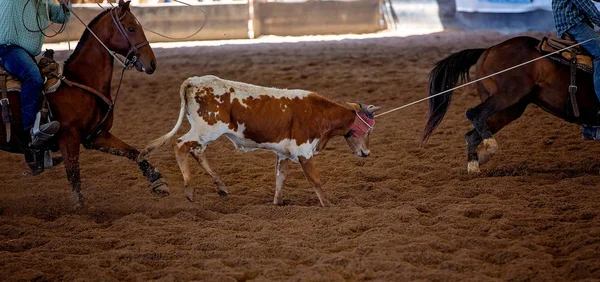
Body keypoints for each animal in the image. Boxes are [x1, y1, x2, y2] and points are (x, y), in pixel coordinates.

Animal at [1, 0, 169, 207]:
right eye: (131, 28)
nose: (152, 63)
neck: (80, 79)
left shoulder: (96, 136)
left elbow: (134, 152)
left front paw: (158, 181)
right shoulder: (69, 137)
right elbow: (74, 175)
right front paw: (79, 208)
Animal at [139, 75, 380, 207]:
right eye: (368, 130)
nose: (367, 153)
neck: (317, 113)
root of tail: (194, 81)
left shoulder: (284, 153)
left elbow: (280, 177)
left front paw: (278, 202)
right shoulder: (304, 151)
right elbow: (315, 180)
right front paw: (328, 203)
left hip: (203, 132)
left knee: (197, 151)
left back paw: (221, 186)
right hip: (205, 129)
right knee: (180, 145)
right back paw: (189, 189)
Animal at [420, 36, 596, 173]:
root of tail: (488, 49)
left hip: (509, 110)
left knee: (472, 134)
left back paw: (475, 165)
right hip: (507, 96)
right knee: (473, 113)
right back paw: (488, 149)